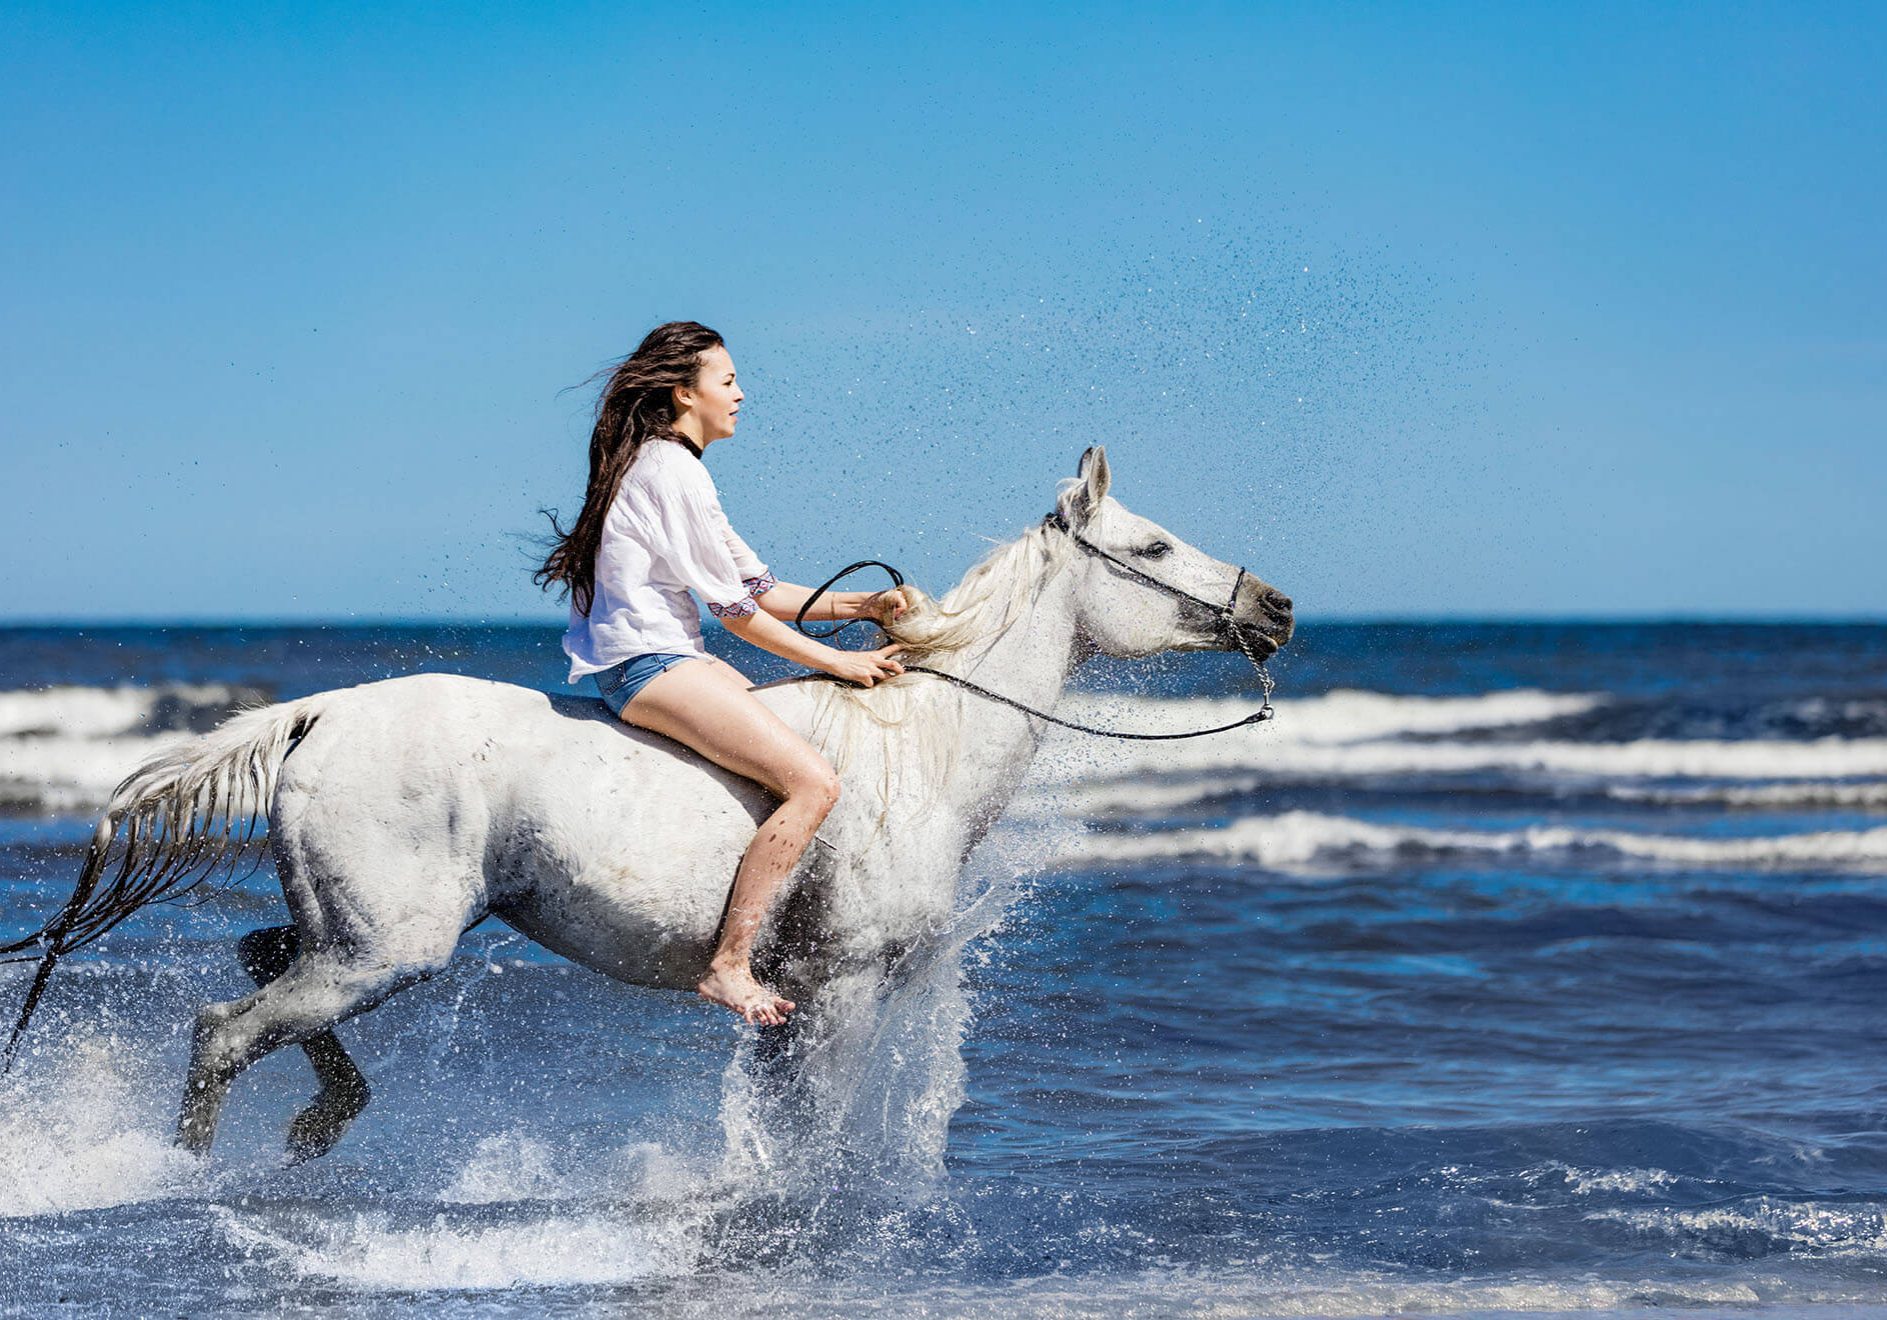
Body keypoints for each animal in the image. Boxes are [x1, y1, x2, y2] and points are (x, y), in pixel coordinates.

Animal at [0, 448, 1290, 1161]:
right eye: (1152, 545)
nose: (1275, 607)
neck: (919, 752)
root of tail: (320, 715)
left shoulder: (801, 1009)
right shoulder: (842, 994)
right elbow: (813, 1146)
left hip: (358, 937)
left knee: (259, 964)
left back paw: (321, 1125)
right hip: (389, 947)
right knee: (223, 1032)